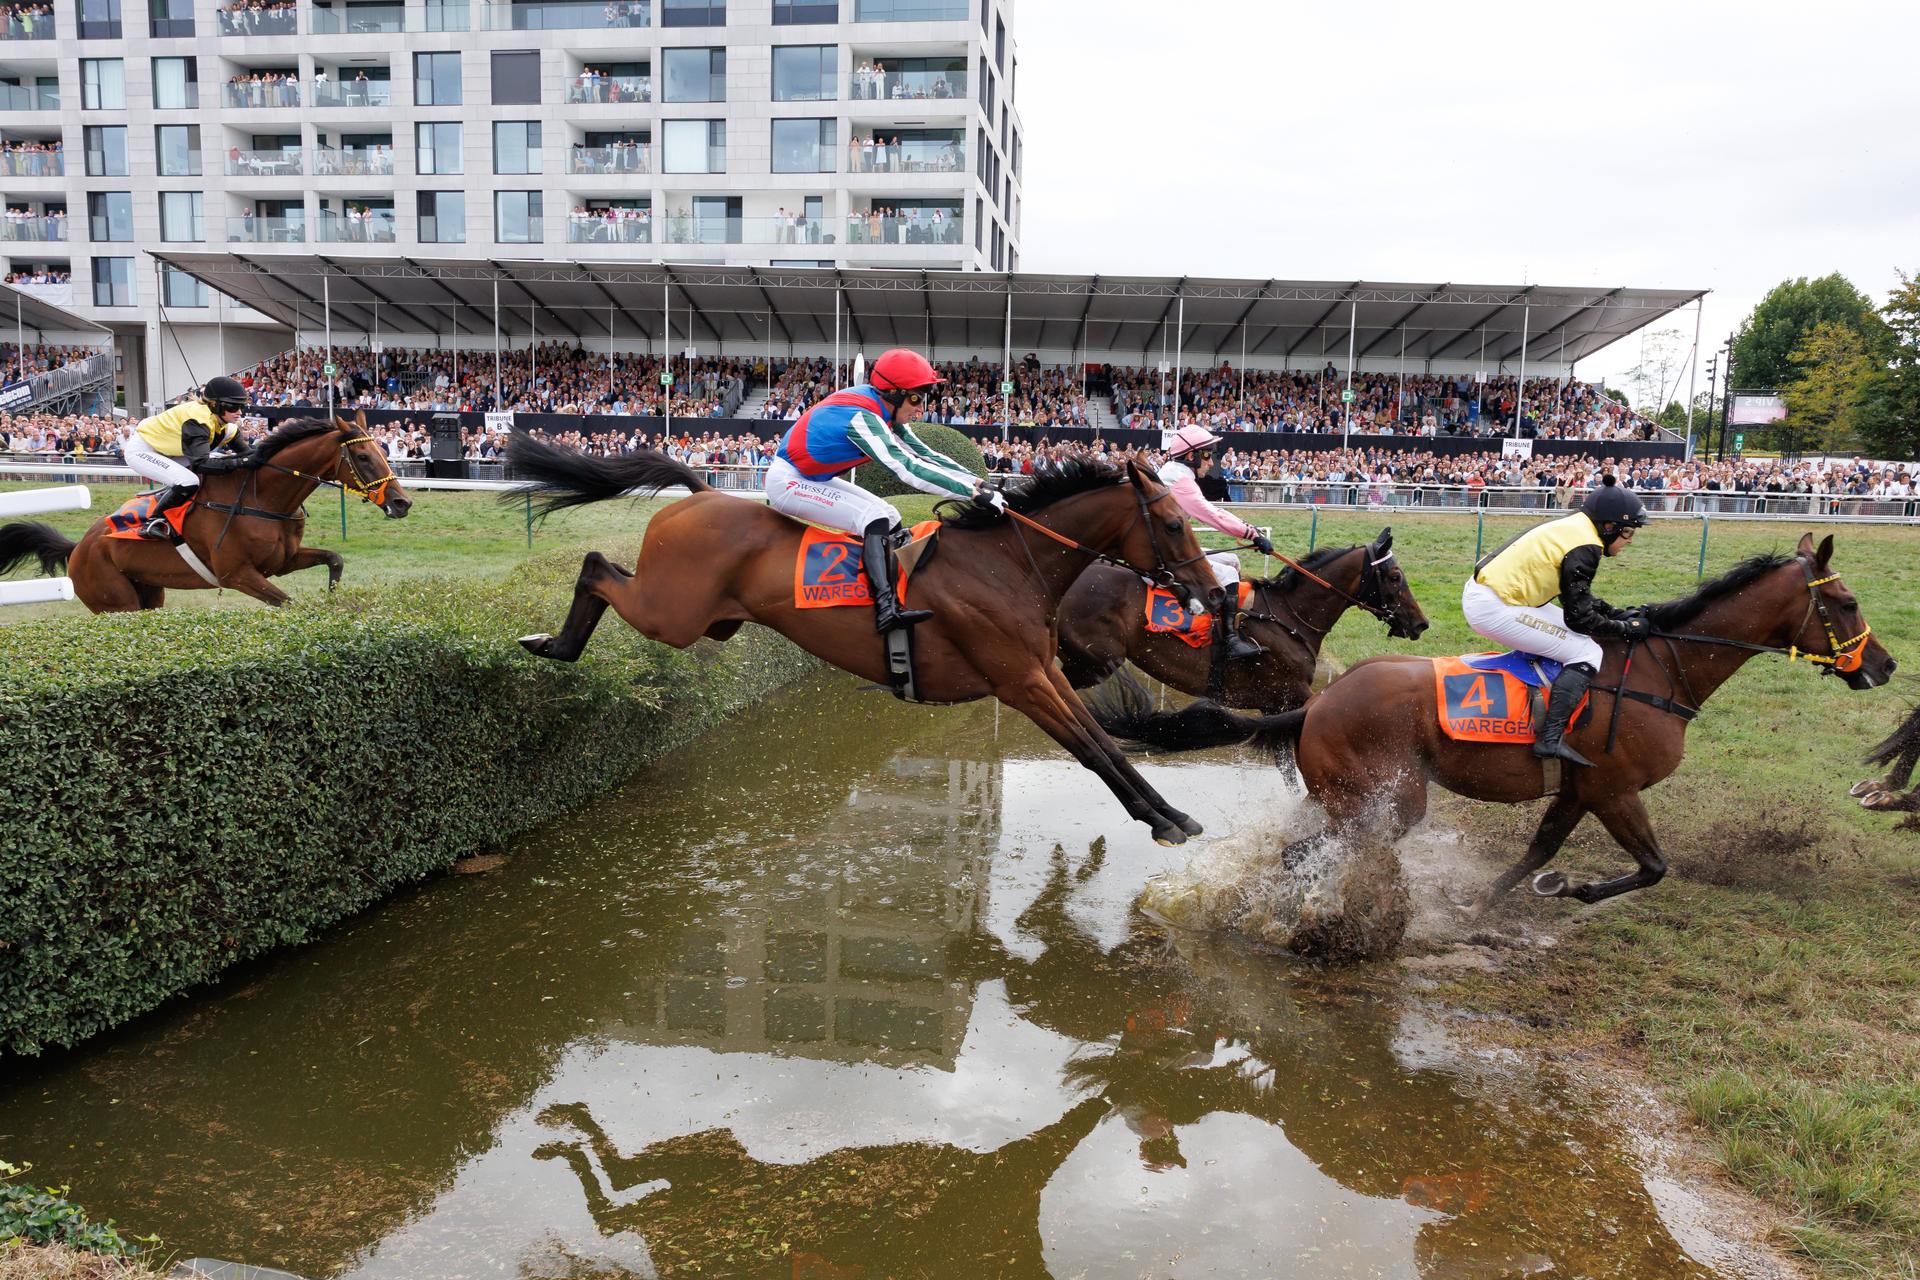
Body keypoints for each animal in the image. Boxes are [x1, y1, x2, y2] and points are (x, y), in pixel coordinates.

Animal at [0, 412, 410, 612]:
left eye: (383, 451)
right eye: (362, 457)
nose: (402, 502)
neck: (263, 500)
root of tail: (79, 547)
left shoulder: (282, 561)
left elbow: (335, 559)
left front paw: (334, 599)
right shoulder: (237, 574)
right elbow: (289, 603)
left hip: (150, 593)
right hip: (115, 602)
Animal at [506, 434, 1227, 846]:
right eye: (1172, 521)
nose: (1213, 592)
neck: (1005, 565)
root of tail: (701, 492)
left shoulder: (1043, 673)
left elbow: (1101, 740)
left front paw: (1171, 813)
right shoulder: (1020, 683)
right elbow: (1092, 750)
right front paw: (1162, 821)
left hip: (701, 618)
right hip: (671, 615)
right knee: (596, 566)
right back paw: (551, 644)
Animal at [1056, 528, 1431, 711]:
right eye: (1395, 576)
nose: (1421, 623)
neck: (1287, 615)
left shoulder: (1272, 703)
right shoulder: (1292, 693)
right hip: (1094, 660)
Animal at [1093, 534, 1896, 908]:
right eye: (1847, 602)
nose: (1884, 666)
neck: (1660, 671)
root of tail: (1319, 701)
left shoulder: (1580, 790)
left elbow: (1539, 851)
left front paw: (1491, 900)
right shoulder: (1616, 790)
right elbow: (1652, 866)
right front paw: (1572, 892)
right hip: (1388, 797)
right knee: (1312, 851)